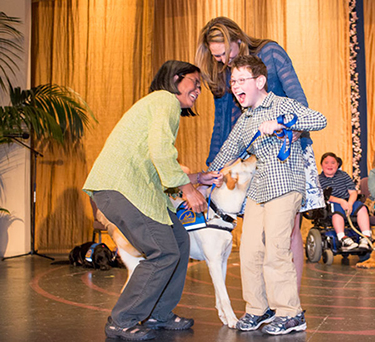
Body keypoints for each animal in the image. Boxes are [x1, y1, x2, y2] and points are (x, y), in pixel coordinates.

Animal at [94, 156, 258, 328]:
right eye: (243, 160)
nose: (254, 154)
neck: (219, 212)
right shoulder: (213, 261)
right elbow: (225, 297)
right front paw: (232, 319)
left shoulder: (222, 262)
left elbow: (220, 295)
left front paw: (224, 317)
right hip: (137, 264)